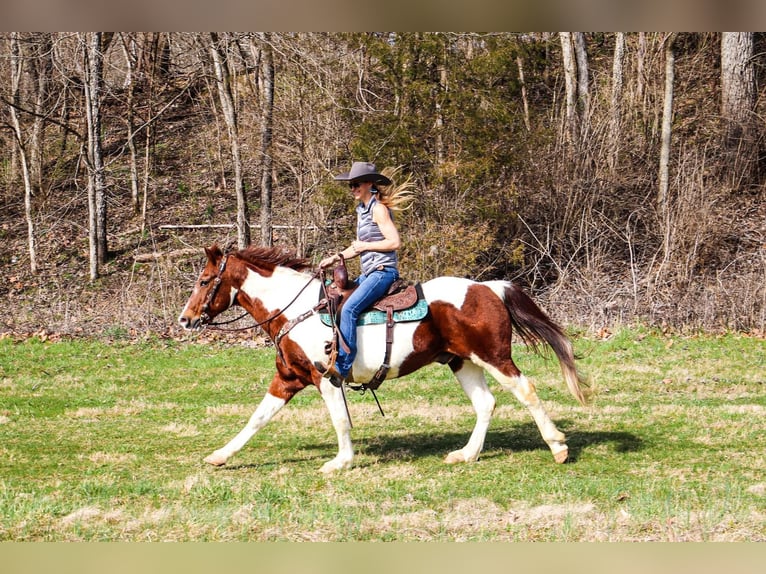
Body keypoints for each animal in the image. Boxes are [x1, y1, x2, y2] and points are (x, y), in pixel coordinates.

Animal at [178, 245, 588, 474]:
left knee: (526, 390)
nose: (185, 319)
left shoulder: (326, 378)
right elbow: (257, 418)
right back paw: (467, 454)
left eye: (203, 281)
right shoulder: (288, 378)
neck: (295, 310)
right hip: (462, 361)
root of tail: (488, 287)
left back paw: (558, 446)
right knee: (486, 403)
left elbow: (340, 421)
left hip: (493, 356)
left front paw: (340, 462)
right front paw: (220, 456)